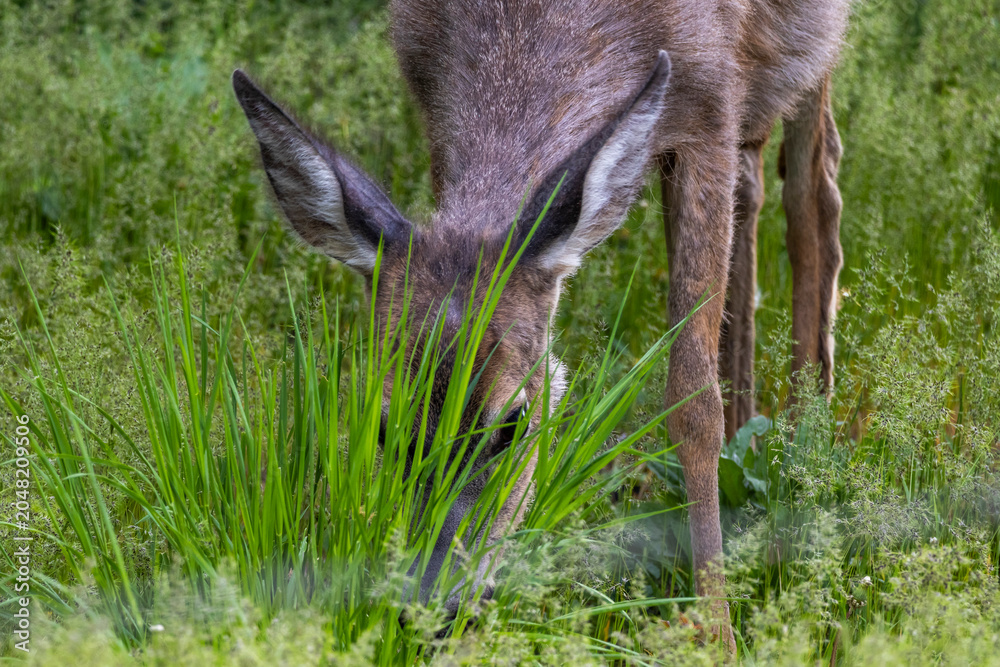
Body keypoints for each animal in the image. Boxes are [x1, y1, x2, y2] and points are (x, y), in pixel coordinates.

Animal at [233, 0, 849, 649]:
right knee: (755, 183)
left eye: (512, 424)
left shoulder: (712, 104)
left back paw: (809, 451)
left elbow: (690, 399)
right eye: (384, 428)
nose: (435, 608)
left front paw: (716, 638)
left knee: (815, 180)